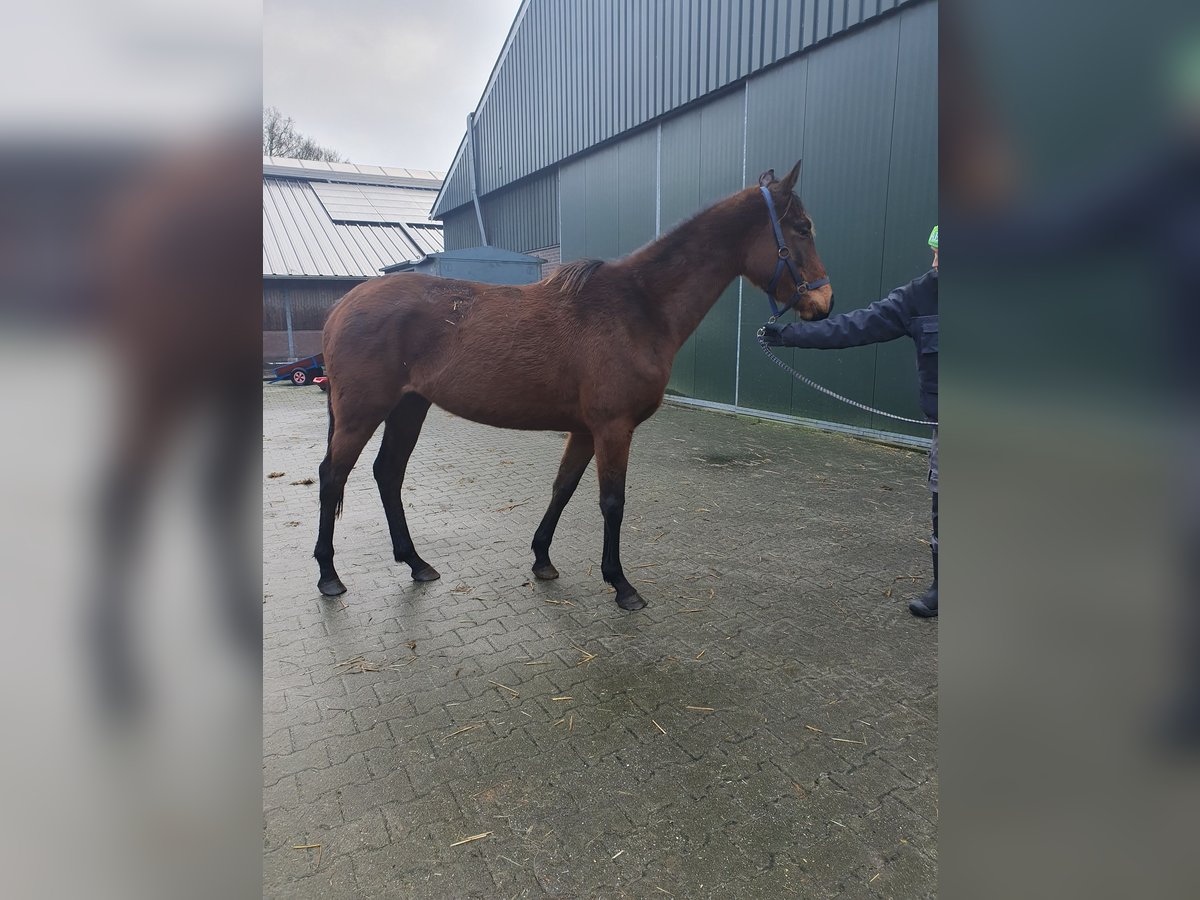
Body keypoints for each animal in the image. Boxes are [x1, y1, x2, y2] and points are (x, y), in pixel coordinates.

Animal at [314, 162, 830, 614]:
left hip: (408, 408)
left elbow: (562, 488)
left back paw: (416, 563)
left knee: (388, 474)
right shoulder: (613, 429)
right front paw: (621, 585)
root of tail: (342, 307)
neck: (637, 307)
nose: (823, 303)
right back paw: (329, 576)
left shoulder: (584, 430)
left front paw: (542, 559)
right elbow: (612, 503)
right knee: (333, 476)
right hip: (363, 411)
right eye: (802, 228)